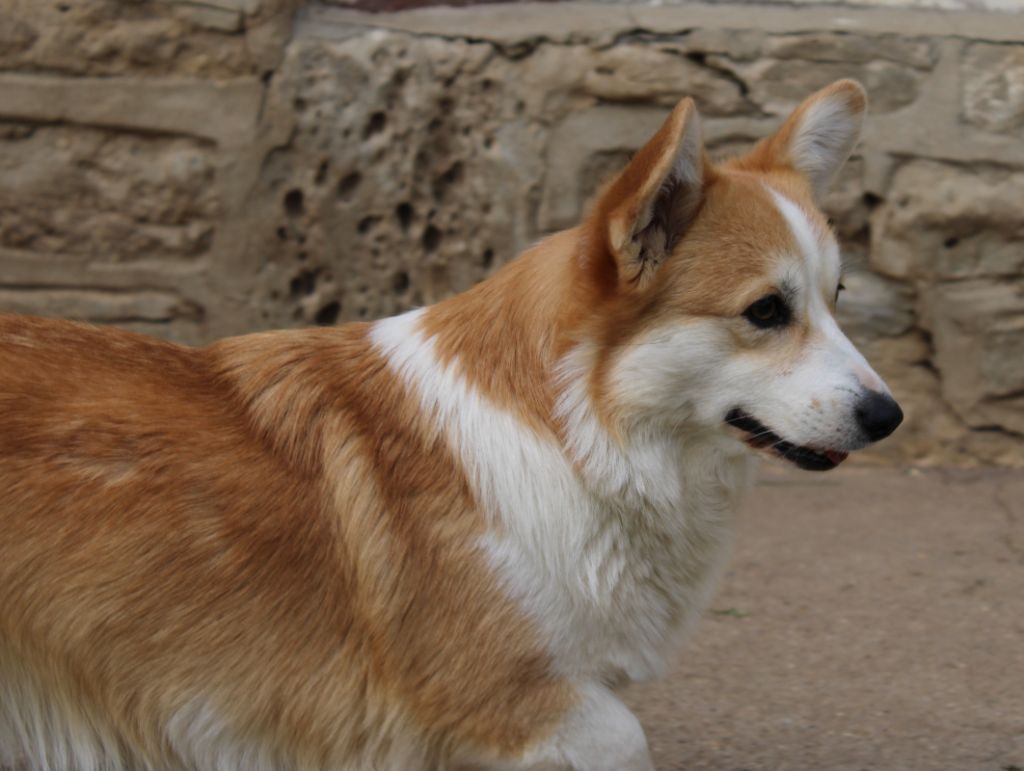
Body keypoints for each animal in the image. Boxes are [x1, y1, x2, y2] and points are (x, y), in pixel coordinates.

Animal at [0, 79, 901, 769]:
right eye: (766, 311)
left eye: (837, 298)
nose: (889, 416)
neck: (578, 437)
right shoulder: (514, 700)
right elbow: (625, 735)